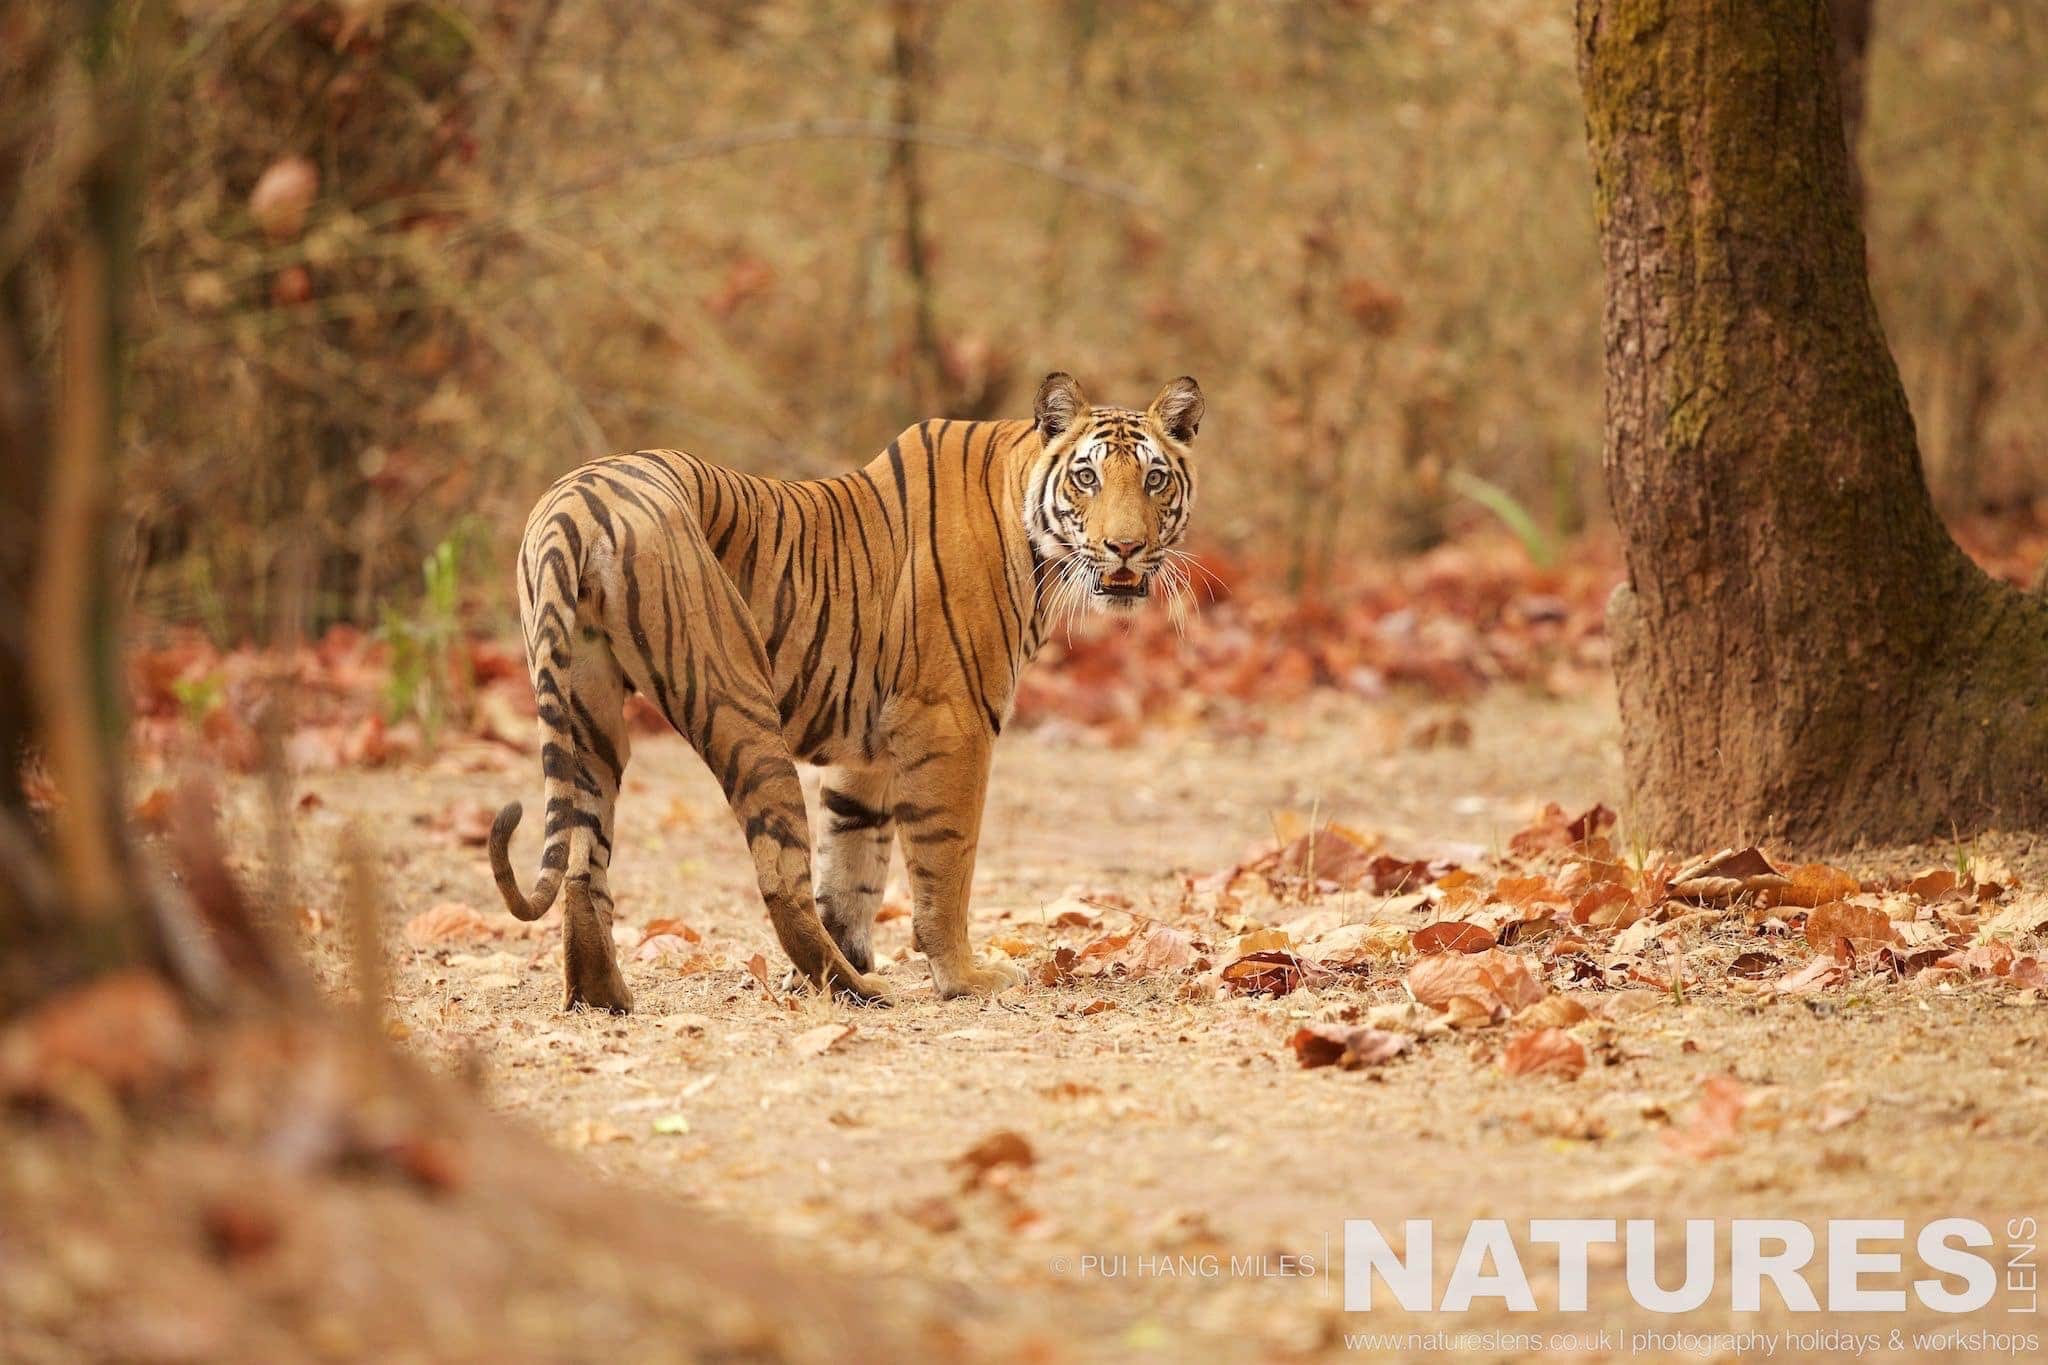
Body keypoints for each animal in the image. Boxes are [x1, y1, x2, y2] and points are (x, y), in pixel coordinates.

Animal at [487, 372, 1204, 1011]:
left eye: (1154, 478)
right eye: (1087, 477)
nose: (1125, 548)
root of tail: (575, 505)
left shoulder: (871, 752)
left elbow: (854, 869)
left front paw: (839, 966)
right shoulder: (948, 723)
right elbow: (946, 864)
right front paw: (964, 978)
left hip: (587, 711)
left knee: (583, 859)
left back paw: (605, 998)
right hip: (736, 697)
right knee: (778, 874)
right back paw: (857, 989)